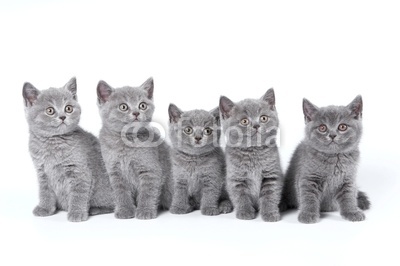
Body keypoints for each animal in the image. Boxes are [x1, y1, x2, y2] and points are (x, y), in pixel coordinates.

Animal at [22, 77, 114, 222]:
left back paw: (94, 209)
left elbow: (78, 193)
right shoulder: (42, 172)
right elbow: (45, 192)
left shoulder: (79, 171)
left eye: (68, 108)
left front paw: (76, 213)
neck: (53, 143)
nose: (63, 116)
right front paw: (45, 208)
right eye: (50, 110)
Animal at [97, 78, 173, 219]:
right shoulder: (115, 172)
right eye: (123, 106)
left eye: (142, 105)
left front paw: (145, 211)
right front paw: (125, 210)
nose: (136, 112)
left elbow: (148, 192)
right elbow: (120, 193)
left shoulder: (150, 169)